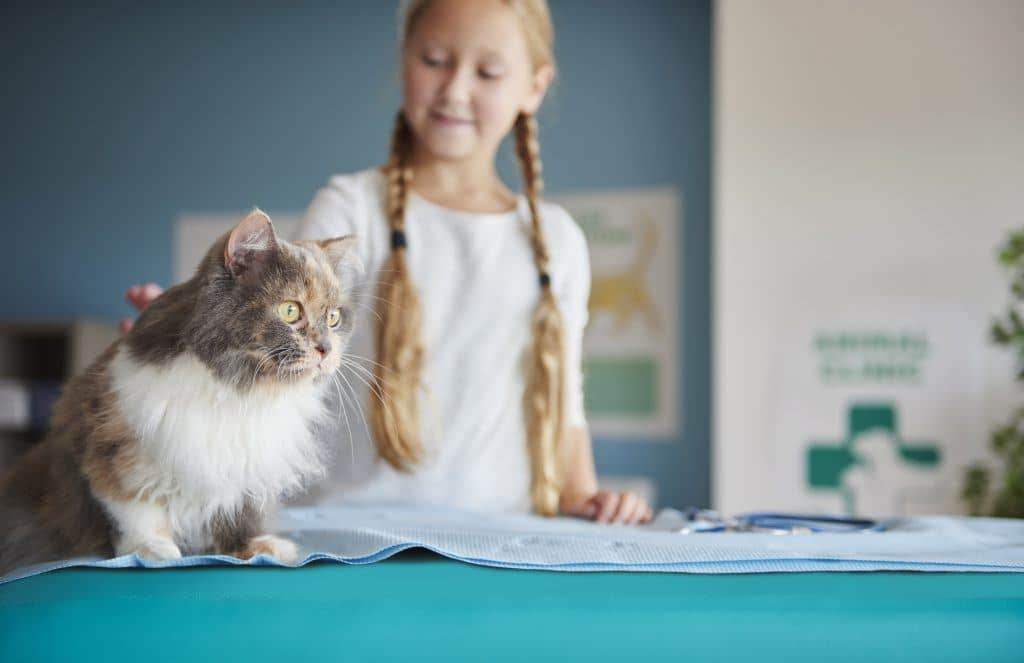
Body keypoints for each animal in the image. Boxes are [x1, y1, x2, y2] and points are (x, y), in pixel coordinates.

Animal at [0, 209, 358, 573]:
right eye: (290, 311)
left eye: (333, 318)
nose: (326, 349)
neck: (239, 389)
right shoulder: (113, 440)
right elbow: (134, 505)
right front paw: (151, 549)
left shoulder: (244, 466)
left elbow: (236, 513)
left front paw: (253, 547)